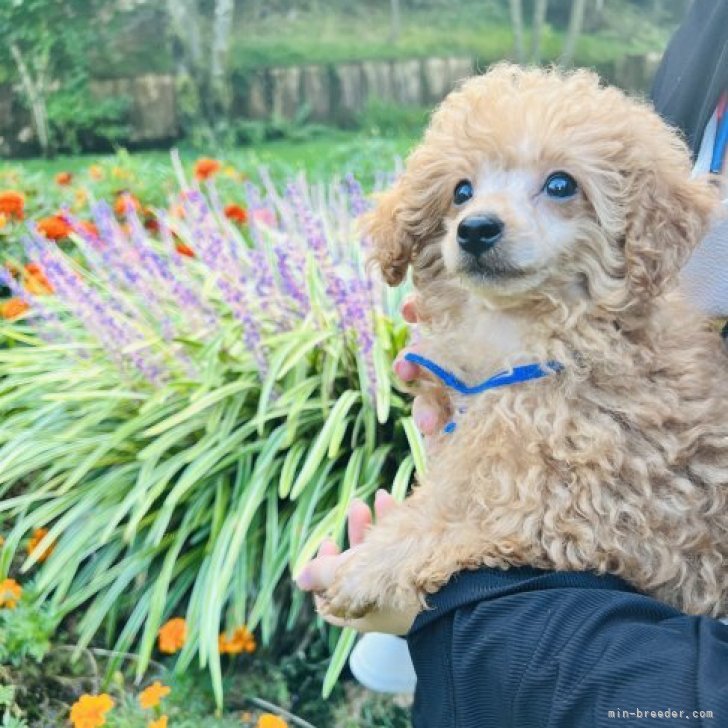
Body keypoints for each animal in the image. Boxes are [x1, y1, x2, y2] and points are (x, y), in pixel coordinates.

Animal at [322, 64, 728, 620]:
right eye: (461, 191)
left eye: (561, 184)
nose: (475, 229)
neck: (525, 335)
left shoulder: (607, 514)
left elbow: (466, 521)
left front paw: (367, 566)